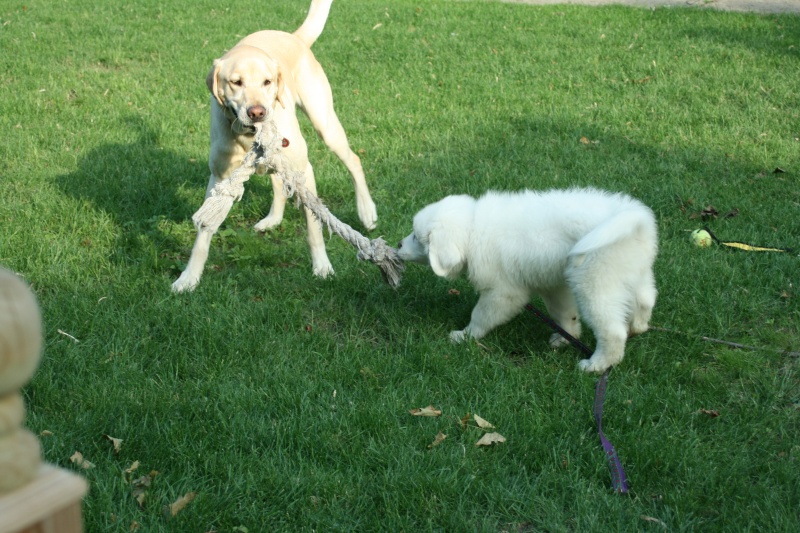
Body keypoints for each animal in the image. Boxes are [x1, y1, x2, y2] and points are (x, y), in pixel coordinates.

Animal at [171, 0, 376, 290]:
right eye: (235, 82)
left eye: (267, 82)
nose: (257, 112)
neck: (248, 138)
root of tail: (294, 37)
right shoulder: (220, 179)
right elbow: (204, 230)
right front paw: (189, 278)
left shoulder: (304, 171)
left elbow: (313, 225)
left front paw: (322, 267)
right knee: (278, 184)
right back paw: (272, 220)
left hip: (325, 123)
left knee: (353, 160)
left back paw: (367, 211)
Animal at [396, 189, 660, 372]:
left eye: (417, 237)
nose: (397, 245)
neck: (473, 231)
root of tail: (633, 218)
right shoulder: (553, 285)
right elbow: (564, 313)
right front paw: (565, 337)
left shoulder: (502, 292)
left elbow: (481, 315)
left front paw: (465, 336)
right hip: (634, 274)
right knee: (646, 299)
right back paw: (638, 326)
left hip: (595, 282)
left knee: (613, 331)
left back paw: (596, 365)